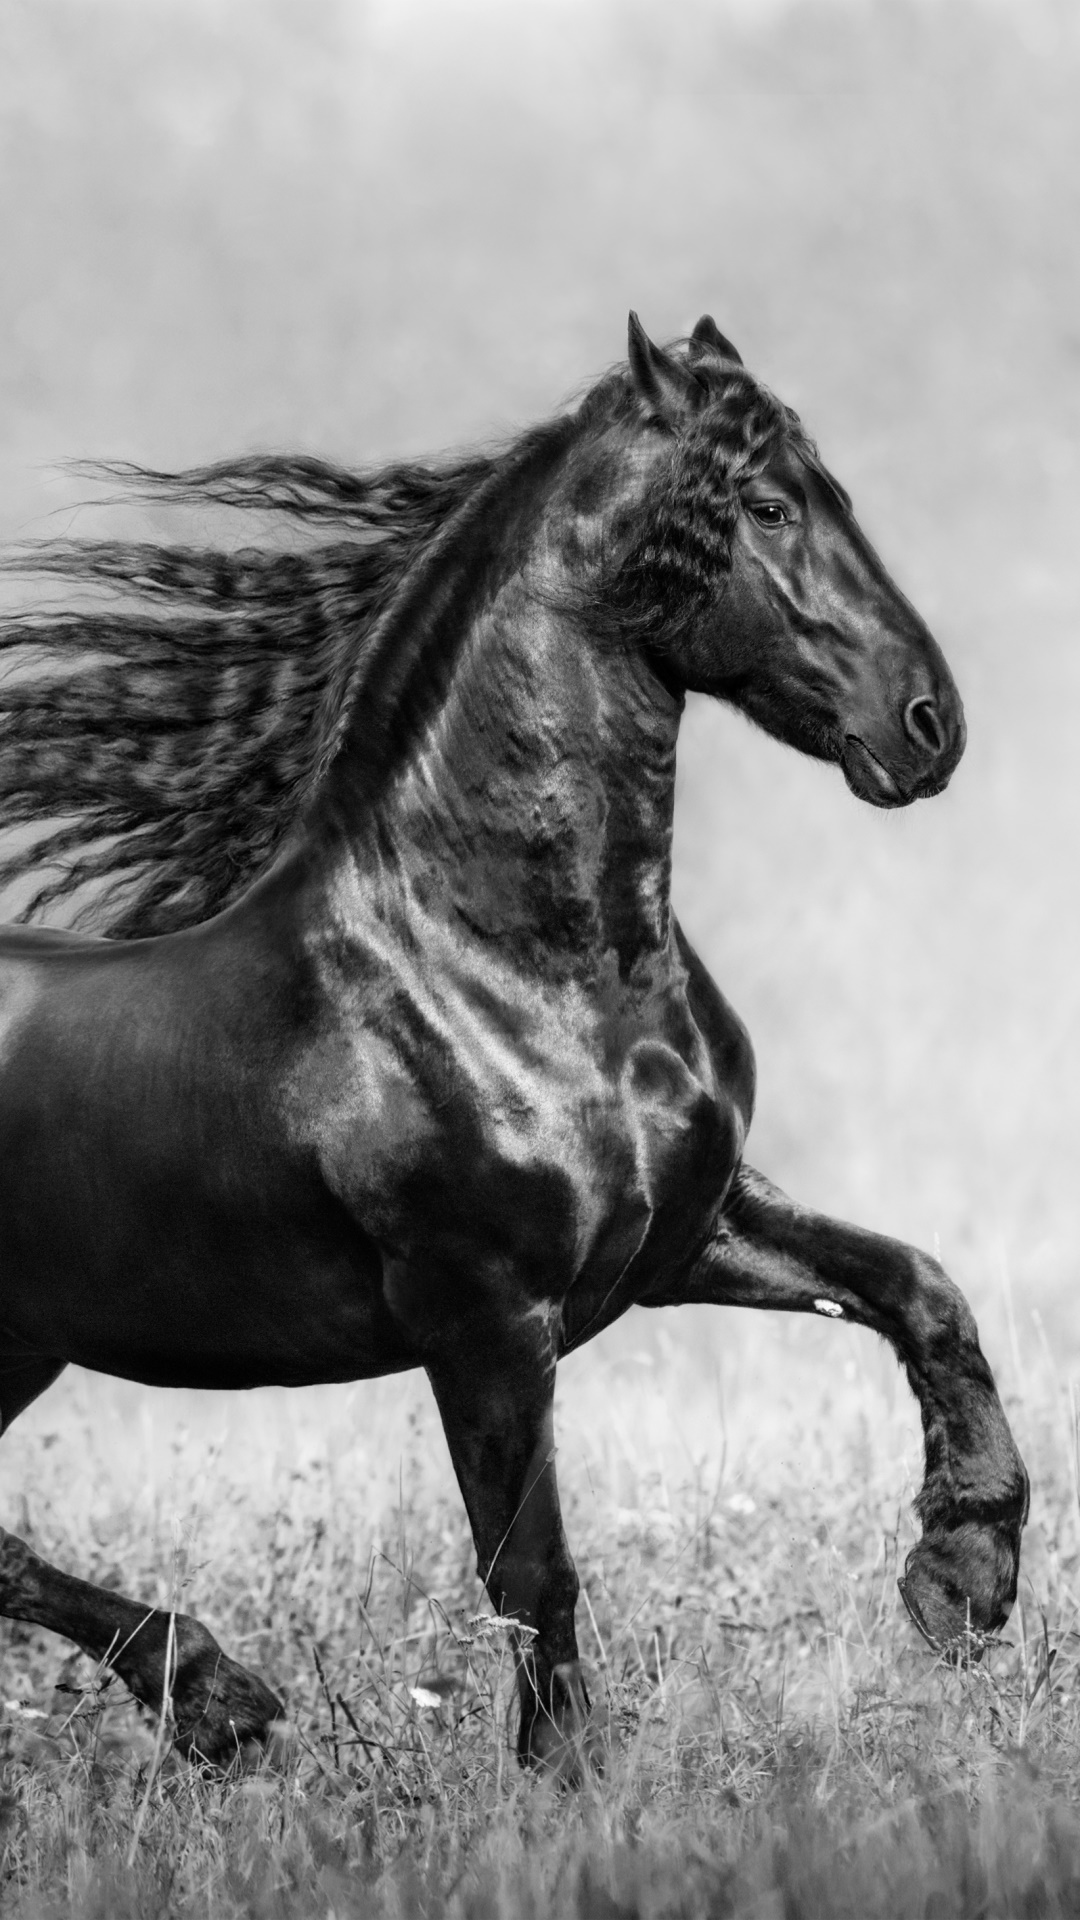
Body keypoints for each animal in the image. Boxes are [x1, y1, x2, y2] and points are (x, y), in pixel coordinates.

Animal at [0, 314, 1027, 1772]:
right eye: (771, 506)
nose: (930, 724)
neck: (500, 967)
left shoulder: (685, 1234)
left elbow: (919, 1288)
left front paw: (962, 1581)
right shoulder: (483, 1314)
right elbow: (528, 1566)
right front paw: (568, 1779)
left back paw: (217, 1700)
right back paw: (217, 1697)